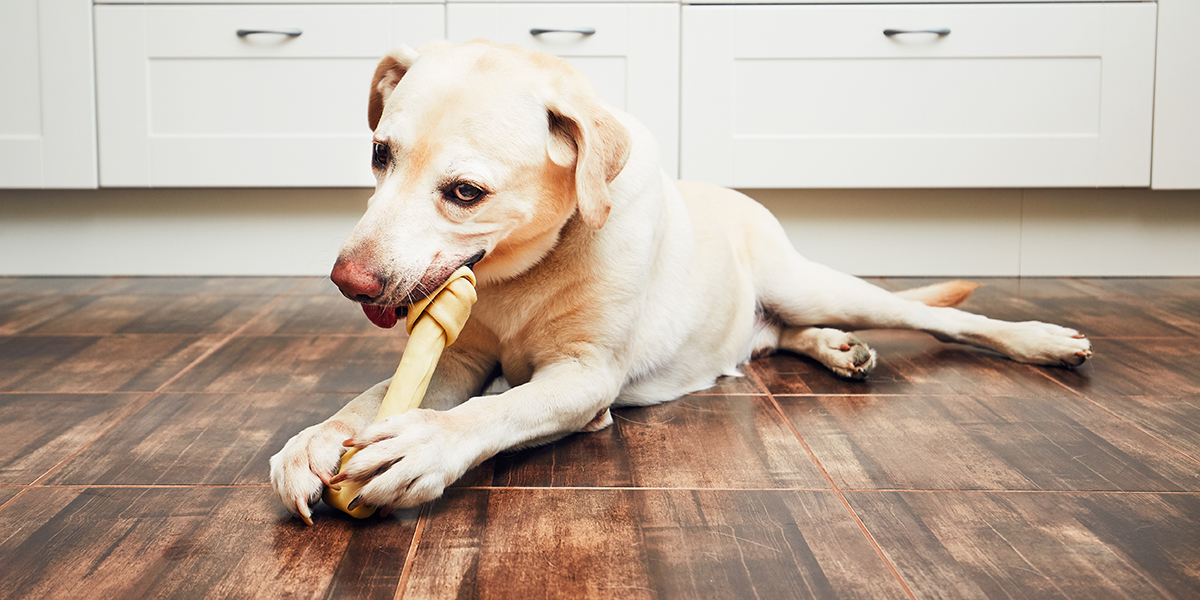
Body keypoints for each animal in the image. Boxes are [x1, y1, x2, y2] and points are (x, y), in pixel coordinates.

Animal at [267, 39, 1094, 523]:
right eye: (380, 154)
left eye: (465, 192)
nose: (346, 280)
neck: (525, 270)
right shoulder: (459, 355)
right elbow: (376, 395)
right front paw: (318, 438)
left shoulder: (585, 378)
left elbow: (494, 411)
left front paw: (422, 446)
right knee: (783, 335)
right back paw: (836, 350)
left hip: (814, 283)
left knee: (941, 319)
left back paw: (1042, 340)